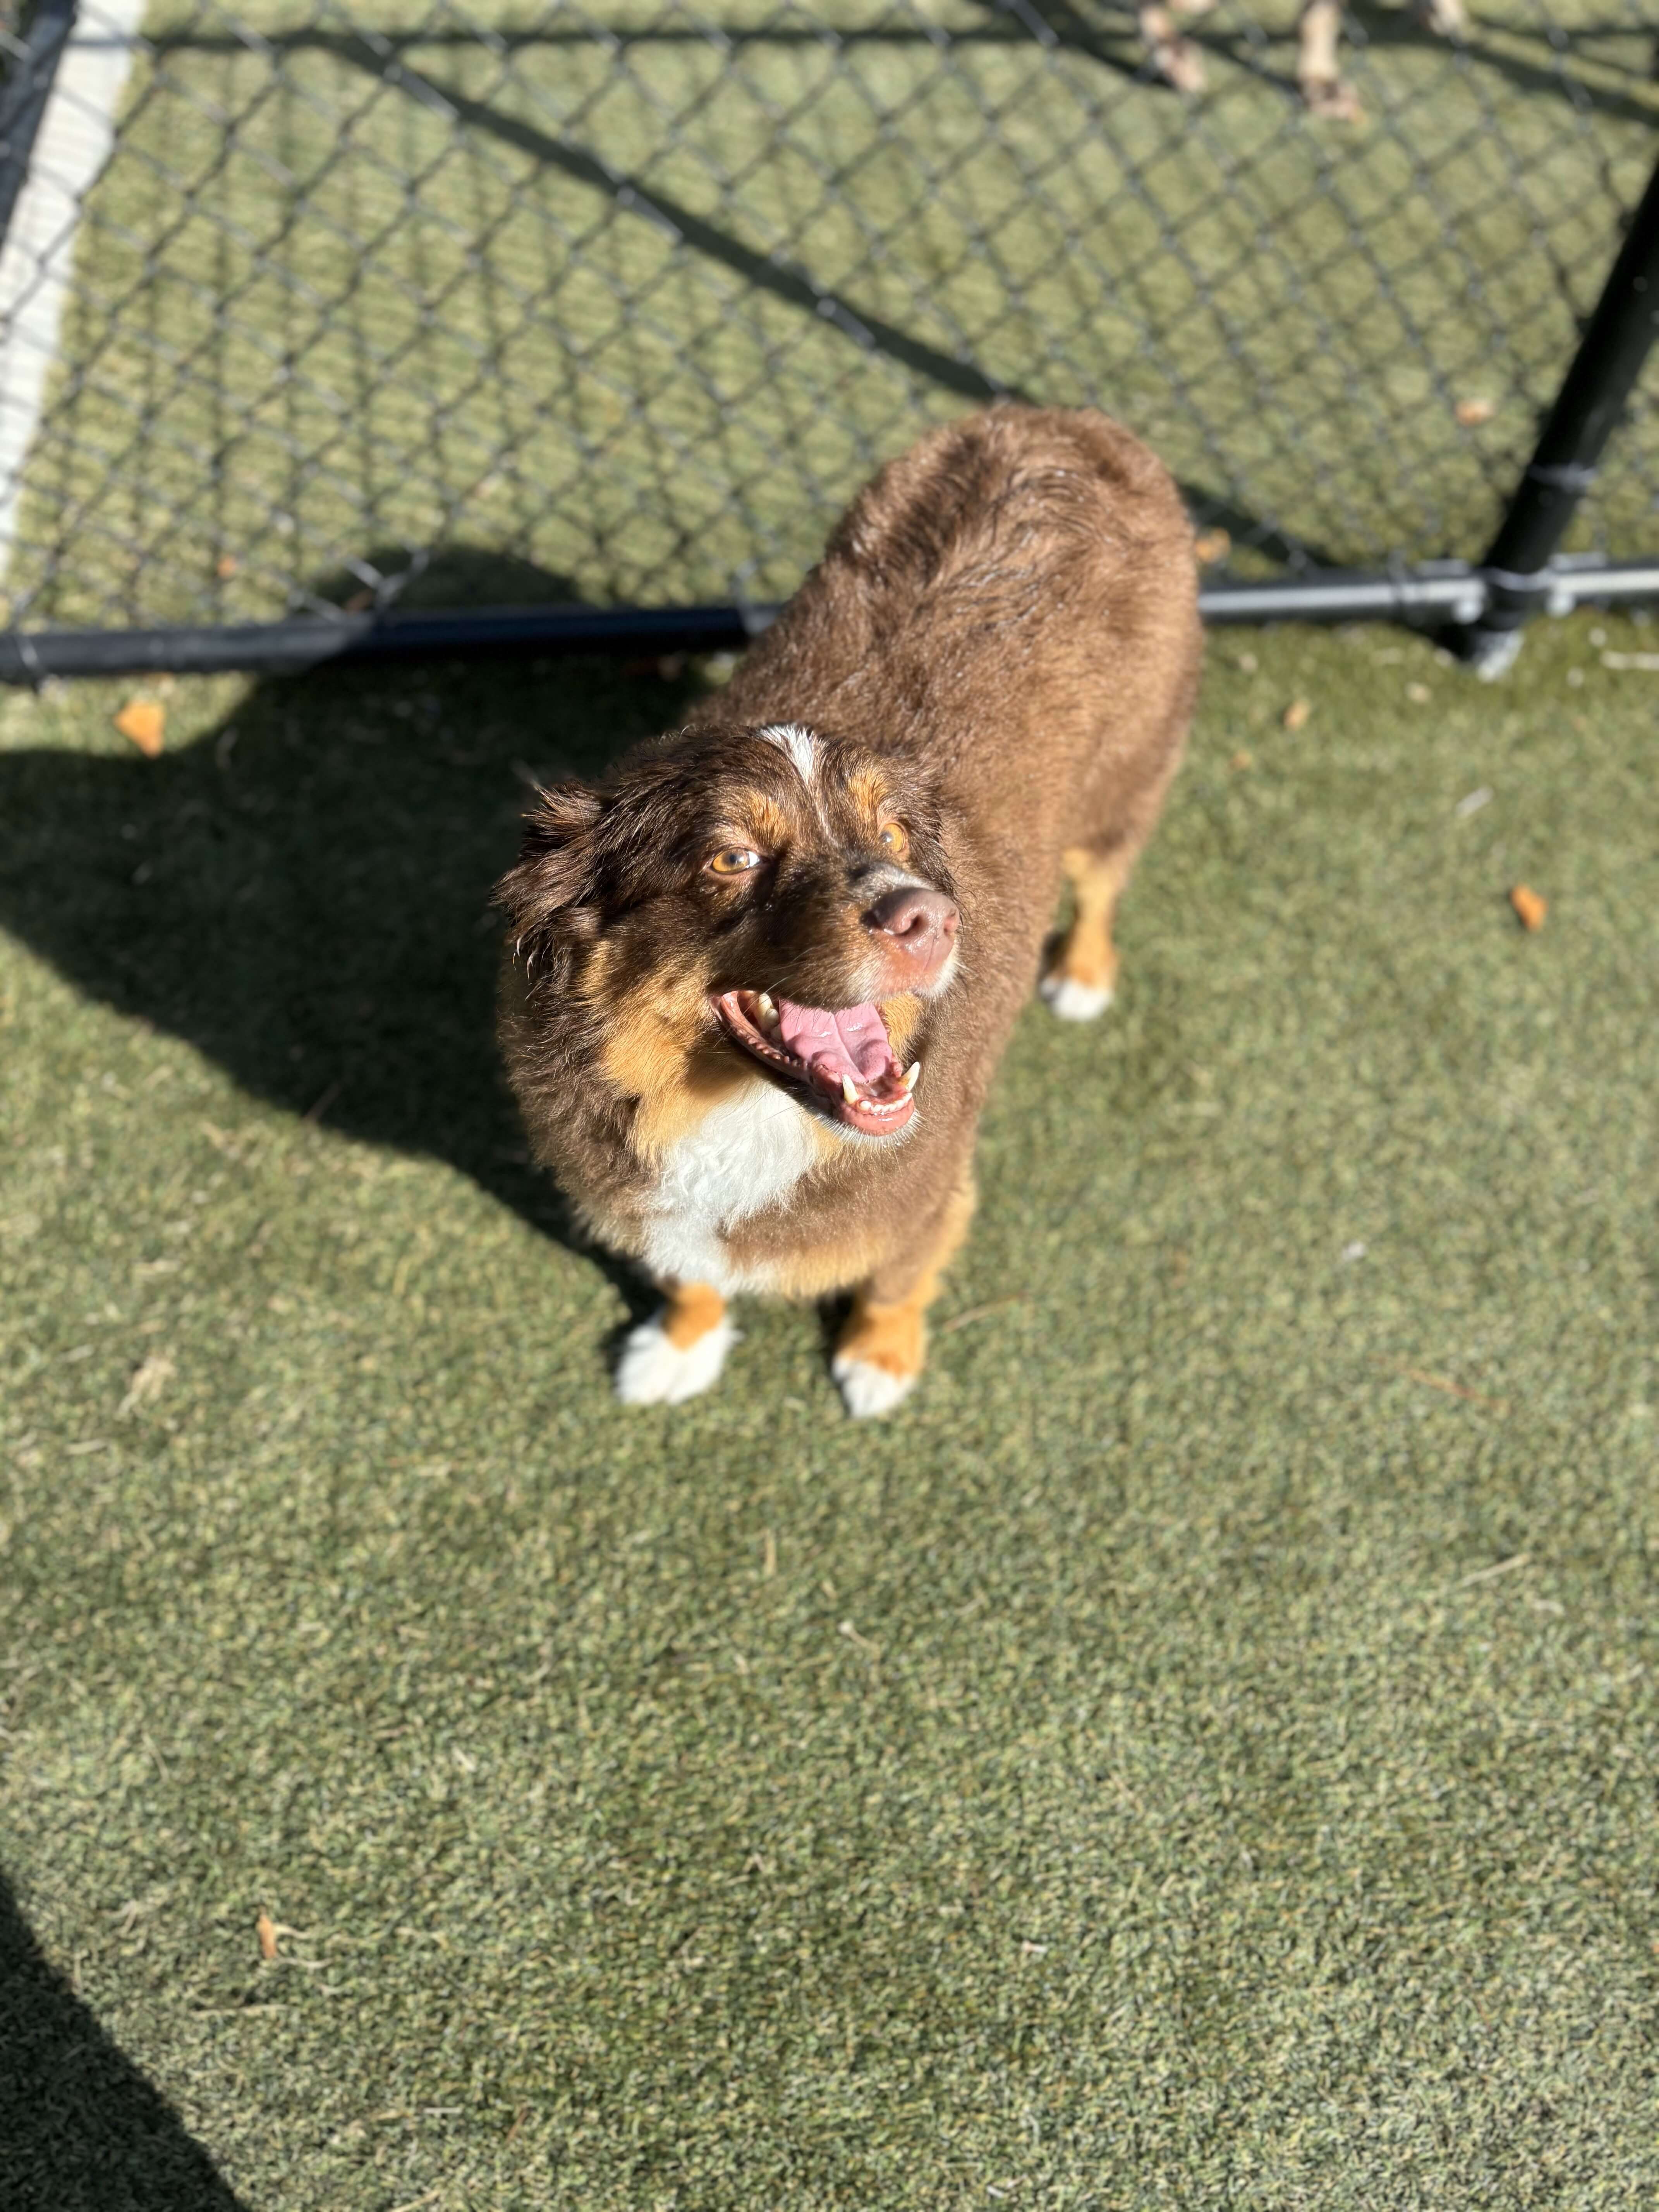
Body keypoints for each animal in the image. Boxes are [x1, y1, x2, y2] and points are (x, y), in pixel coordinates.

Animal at [500, 411, 1203, 1415]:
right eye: (733, 858)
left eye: (896, 836)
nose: (932, 920)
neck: (735, 1113)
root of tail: (1065, 419)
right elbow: (690, 1272)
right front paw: (679, 1345)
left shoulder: (929, 1191)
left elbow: (895, 1279)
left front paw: (880, 1358)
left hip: (1127, 783)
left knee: (1104, 885)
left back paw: (1082, 975)